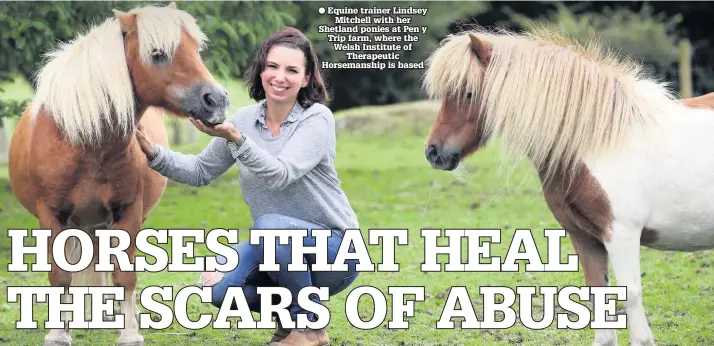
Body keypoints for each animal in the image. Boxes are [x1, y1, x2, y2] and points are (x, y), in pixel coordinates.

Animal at [8, 2, 229, 346]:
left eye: (196, 49)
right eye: (157, 54)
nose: (217, 100)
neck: (85, 142)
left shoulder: (127, 213)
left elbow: (125, 275)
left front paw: (129, 333)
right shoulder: (52, 216)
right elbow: (60, 275)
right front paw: (58, 333)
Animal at [420, 27, 712, 346]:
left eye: (468, 93)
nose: (433, 152)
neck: (599, 141)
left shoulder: (621, 235)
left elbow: (632, 303)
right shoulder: (585, 238)